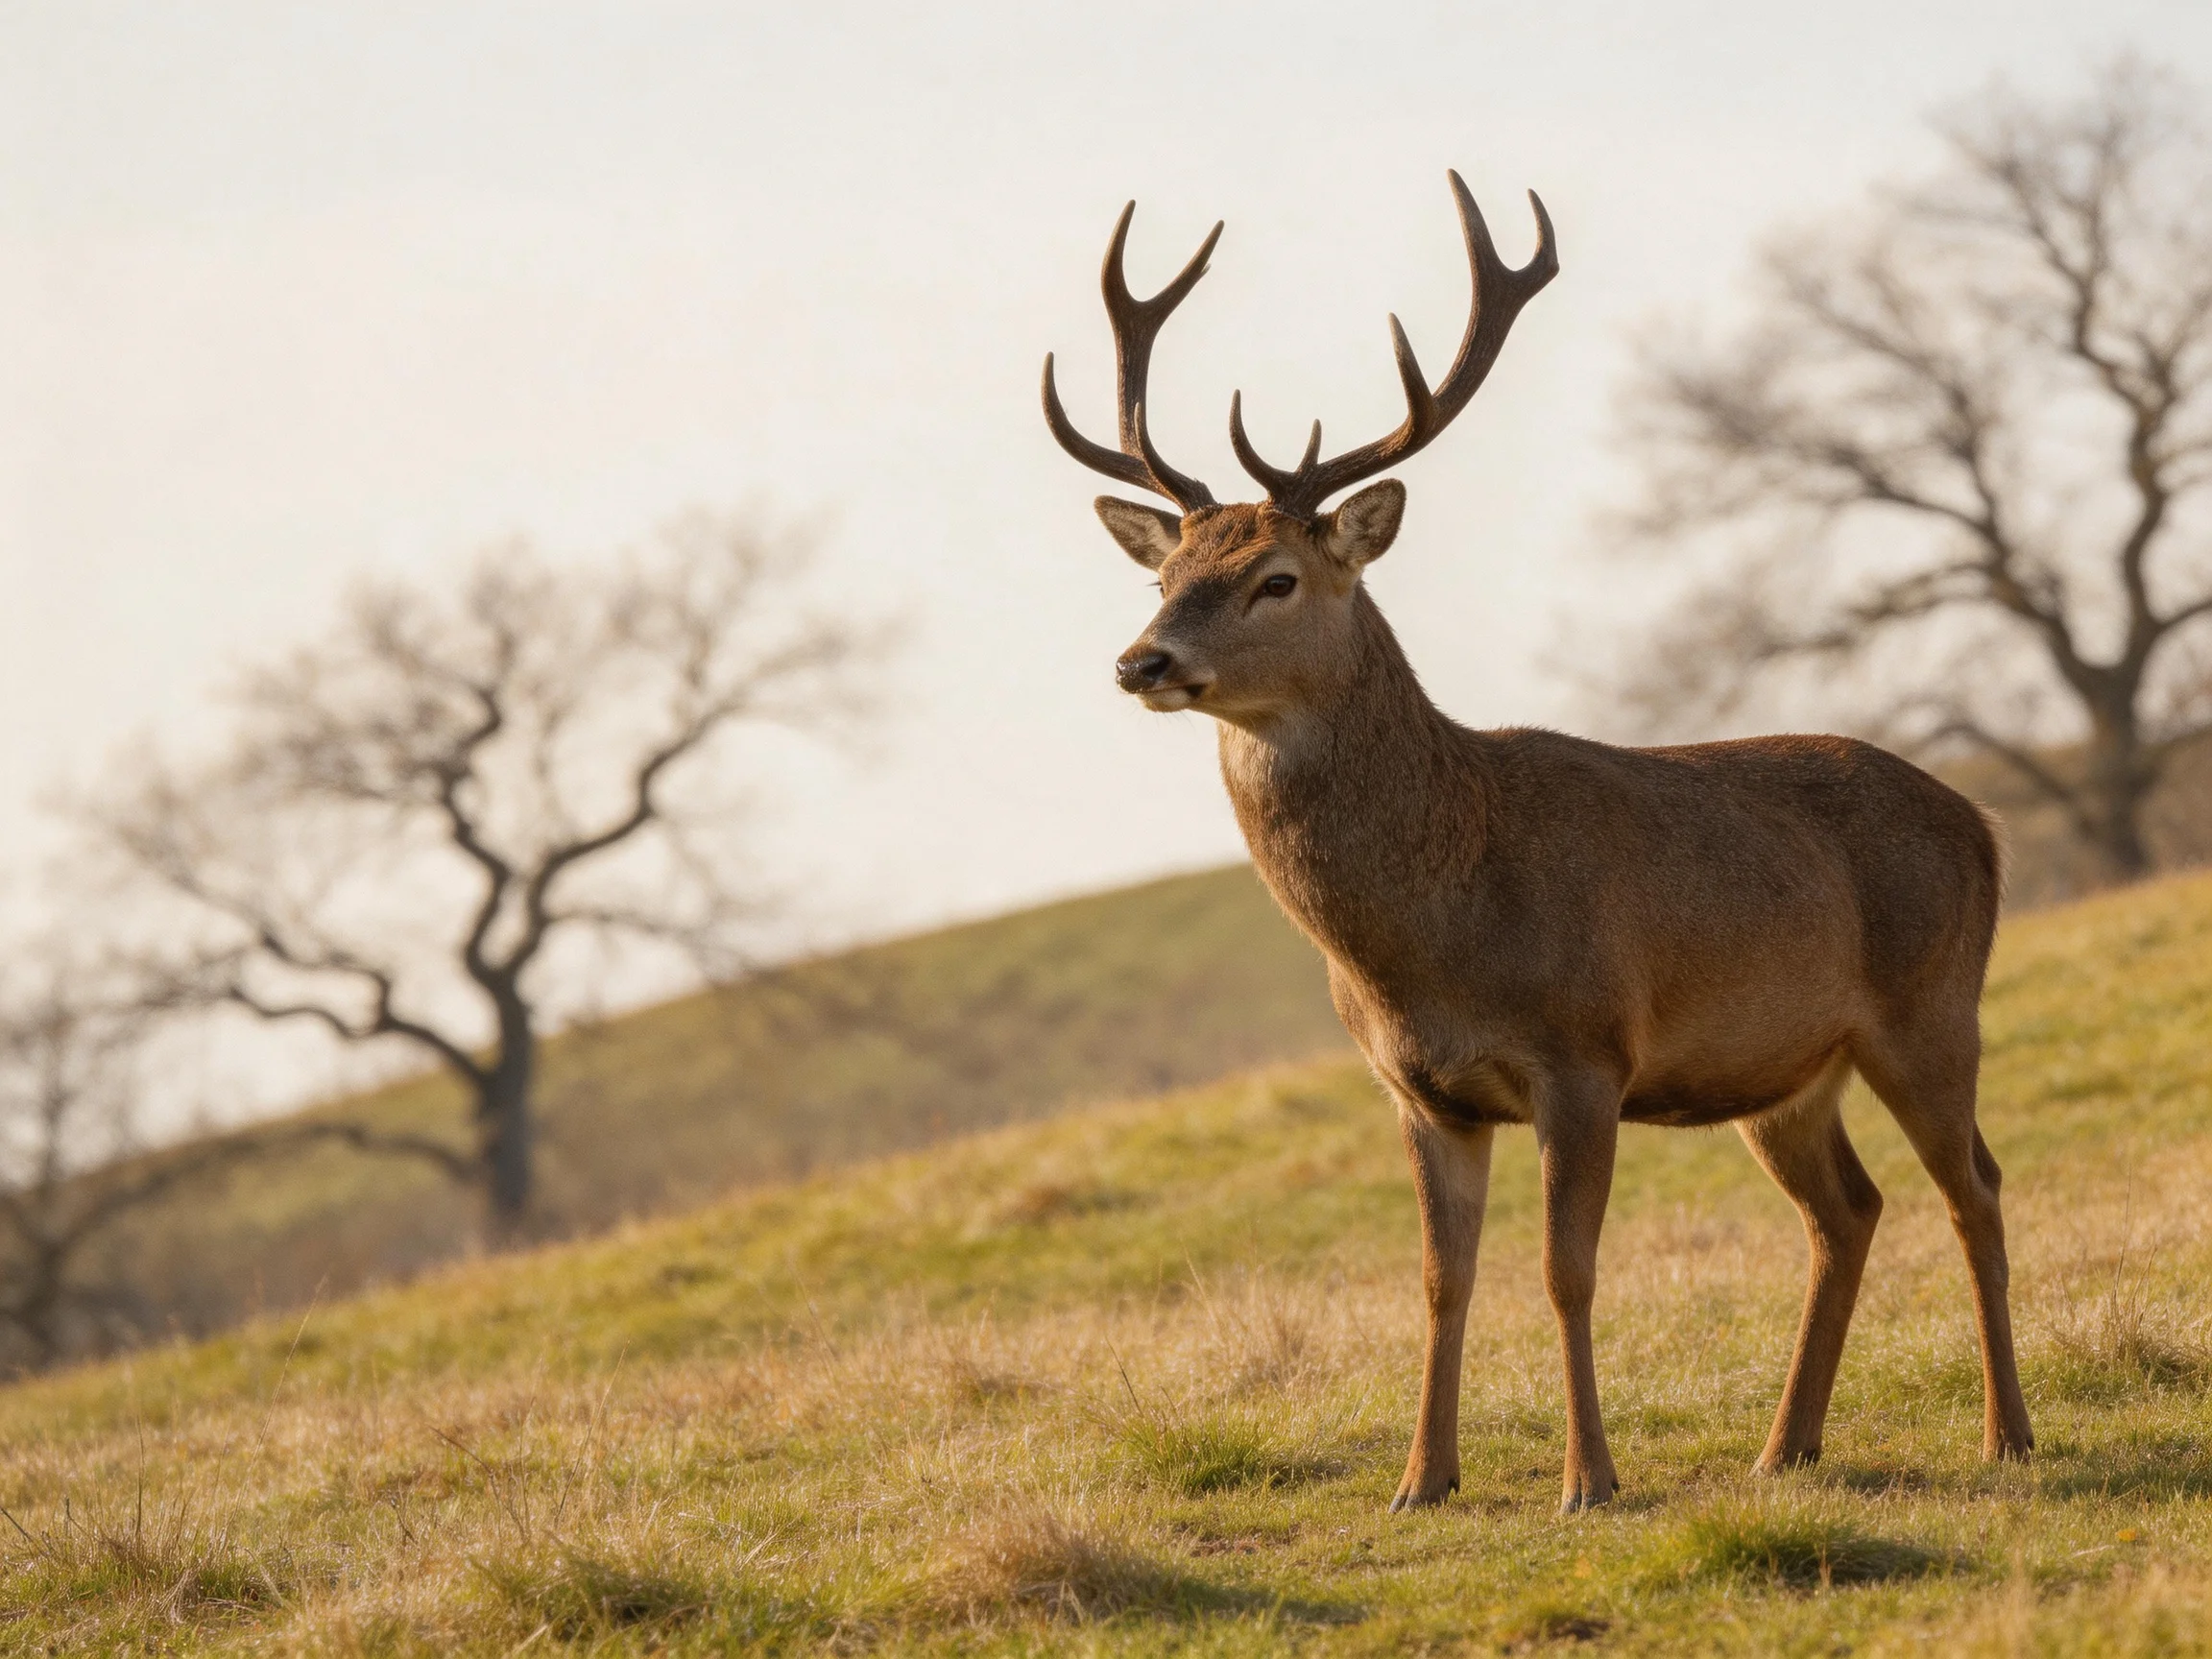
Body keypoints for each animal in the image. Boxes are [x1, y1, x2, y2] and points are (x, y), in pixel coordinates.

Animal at [1040, 173, 2033, 1513]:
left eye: (1277, 578)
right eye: (1169, 573)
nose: (1142, 661)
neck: (1431, 933)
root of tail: (1982, 824)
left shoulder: (1585, 1052)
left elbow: (1567, 1271)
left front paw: (1589, 1481)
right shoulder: (1419, 1091)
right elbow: (1439, 1280)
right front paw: (1422, 1479)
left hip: (1931, 1008)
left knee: (1973, 1187)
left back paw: (2006, 1434)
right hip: (1786, 1071)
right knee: (1849, 1210)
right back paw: (1786, 1447)